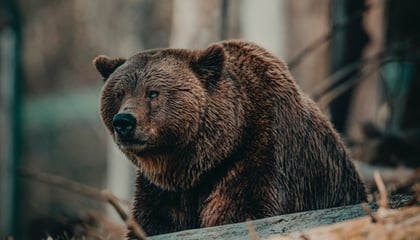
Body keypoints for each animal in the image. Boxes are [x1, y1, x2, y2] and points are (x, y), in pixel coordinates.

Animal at [93, 39, 366, 236]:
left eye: (153, 93)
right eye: (119, 93)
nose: (124, 122)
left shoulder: (259, 154)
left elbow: (243, 210)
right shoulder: (163, 189)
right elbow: (152, 221)